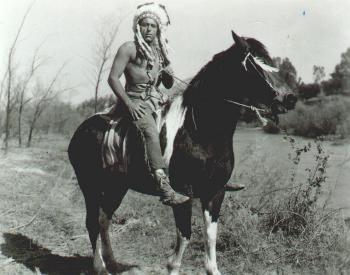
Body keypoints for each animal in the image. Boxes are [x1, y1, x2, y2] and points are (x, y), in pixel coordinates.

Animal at [67, 31, 296, 274]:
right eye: (253, 65)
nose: (290, 98)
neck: (199, 130)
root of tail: (82, 129)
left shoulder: (215, 192)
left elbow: (210, 236)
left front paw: (212, 268)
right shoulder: (183, 193)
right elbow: (185, 235)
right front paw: (172, 265)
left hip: (116, 186)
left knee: (104, 218)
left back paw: (112, 262)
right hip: (90, 186)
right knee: (93, 222)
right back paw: (100, 266)